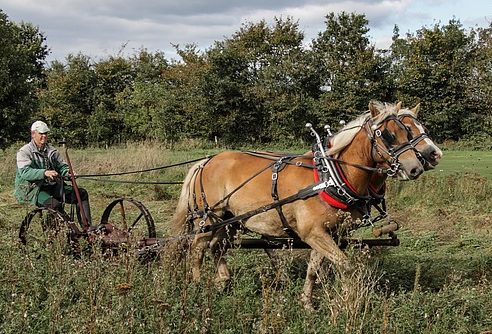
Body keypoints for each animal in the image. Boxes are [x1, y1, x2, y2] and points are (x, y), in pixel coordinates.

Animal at [172, 100, 426, 306]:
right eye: (387, 134)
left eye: (406, 132)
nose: (416, 166)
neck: (329, 176)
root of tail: (206, 161)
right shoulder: (312, 232)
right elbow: (346, 265)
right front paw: (349, 300)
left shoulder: (327, 234)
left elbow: (314, 268)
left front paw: (306, 302)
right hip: (209, 217)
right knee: (198, 248)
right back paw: (198, 286)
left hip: (228, 219)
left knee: (217, 246)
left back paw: (223, 280)